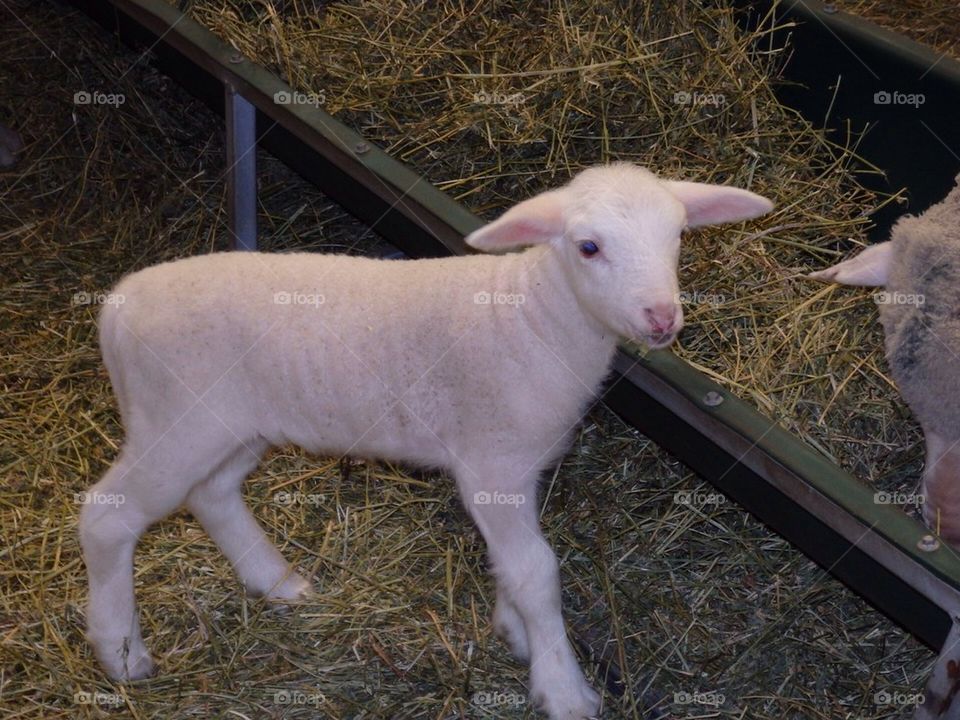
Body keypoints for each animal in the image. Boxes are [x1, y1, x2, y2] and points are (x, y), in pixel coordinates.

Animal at [79, 163, 773, 720]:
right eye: (588, 246)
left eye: (677, 236)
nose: (662, 319)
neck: (534, 316)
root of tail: (116, 304)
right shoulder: (491, 465)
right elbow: (537, 569)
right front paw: (563, 688)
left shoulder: (516, 469)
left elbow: (512, 562)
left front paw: (515, 630)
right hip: (175, 419)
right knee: (107, 515)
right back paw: (121, 654)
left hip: (234, 425)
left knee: (212, 492)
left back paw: (276, 582)